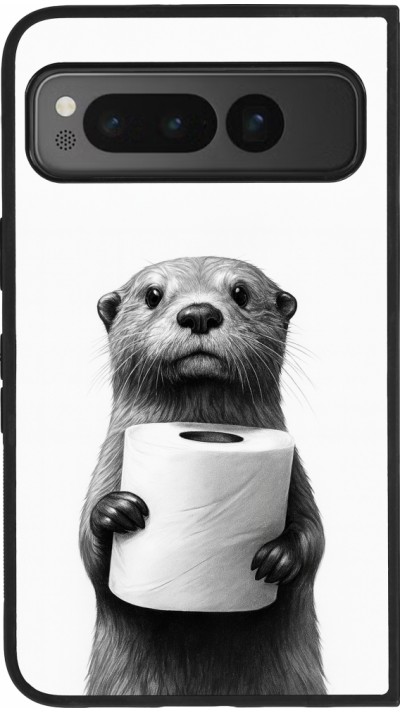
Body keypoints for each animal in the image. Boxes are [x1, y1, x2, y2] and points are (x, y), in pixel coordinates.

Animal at [80, 256, 325, 696]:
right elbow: (88, 552)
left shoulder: (297, 472)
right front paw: (114, 512)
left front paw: (279, 556)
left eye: (241, 292)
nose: (198, 313)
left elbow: (315, 536)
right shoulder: (108, 464)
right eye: (153, 294)